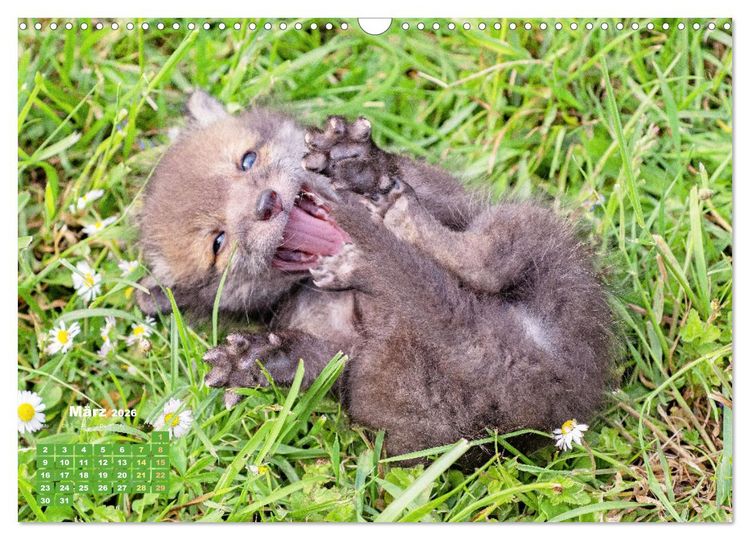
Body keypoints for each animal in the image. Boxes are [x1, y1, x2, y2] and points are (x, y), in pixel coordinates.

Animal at [136, 91, 617, 462]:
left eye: (247, 160)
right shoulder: (337, 352)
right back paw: (375, 253)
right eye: (217, 243)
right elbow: (312, 361)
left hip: (539, 234)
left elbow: (410, 179)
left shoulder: (449, 196)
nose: (266, 203)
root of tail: (543, 377)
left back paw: (388, 228)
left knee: (485, 258)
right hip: (386, 390)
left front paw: (358, 162)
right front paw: (254, 361)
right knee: (478, 266)